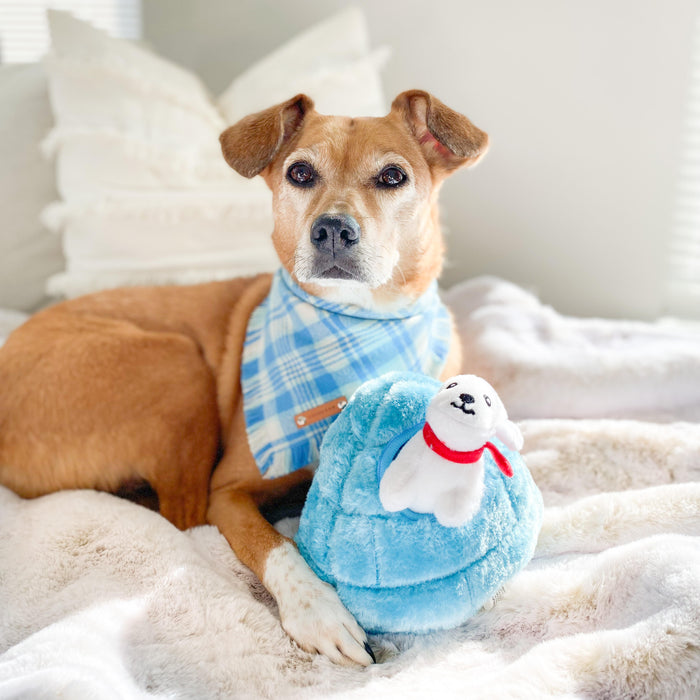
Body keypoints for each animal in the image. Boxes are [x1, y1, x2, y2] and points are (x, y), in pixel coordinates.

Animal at [0, 90, 486, 664]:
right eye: (300, 172)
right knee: (181, 515)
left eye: (393, 177)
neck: (356, 324)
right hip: (176, 365)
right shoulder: (227, 492)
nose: (333, 229)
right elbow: (274, 546)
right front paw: (318, 610)